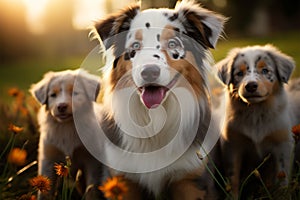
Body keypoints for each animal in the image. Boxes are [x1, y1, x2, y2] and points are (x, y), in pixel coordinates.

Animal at [29, 69, 104, 199]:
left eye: (75, 92)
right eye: (53, 95)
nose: (61, 106)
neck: (67, 126)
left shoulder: (91, 160)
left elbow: (91, 188)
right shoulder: (48, 159)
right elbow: (45, 191)